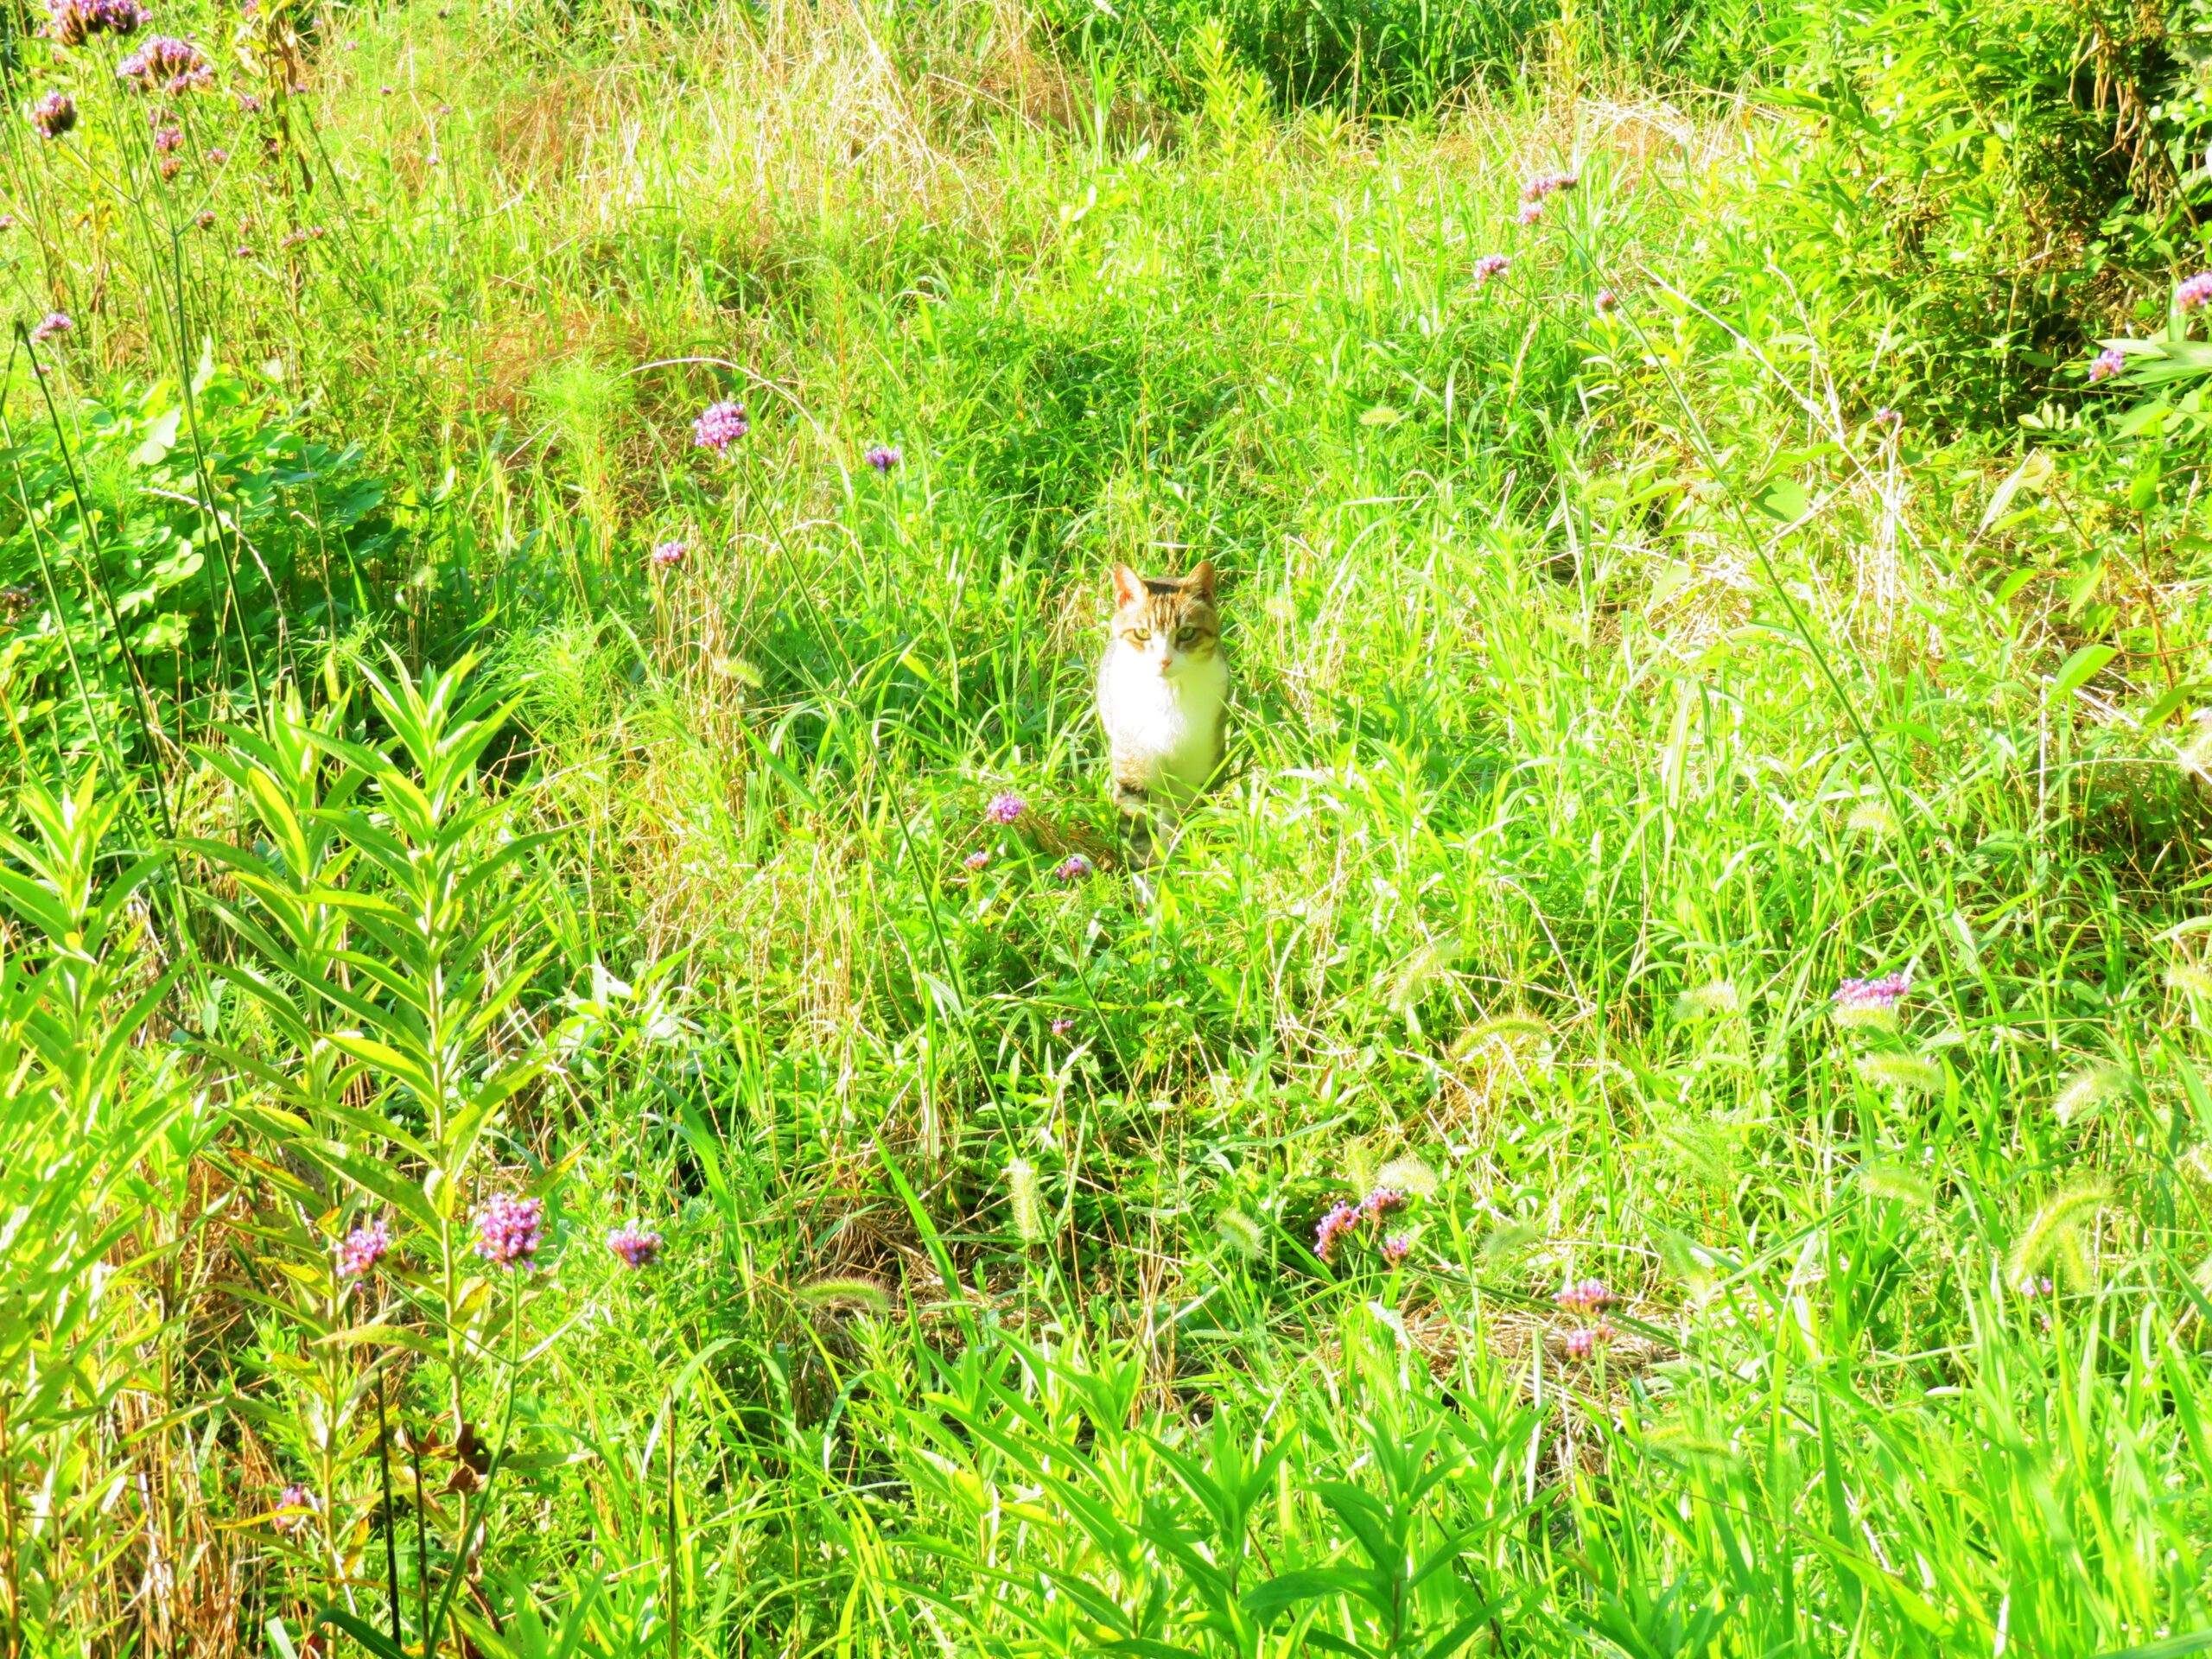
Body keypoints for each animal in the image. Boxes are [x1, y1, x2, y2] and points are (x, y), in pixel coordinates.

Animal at [1101, 562, 1238, 871]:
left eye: (1186, 633)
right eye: (1142, 633)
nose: (1163, 661)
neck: (1170, 693)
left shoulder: (1199, 764)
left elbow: (1187, 820)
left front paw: (1182, 866)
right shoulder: (1133, 761)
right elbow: (1138, 830)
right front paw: (1148, 876)